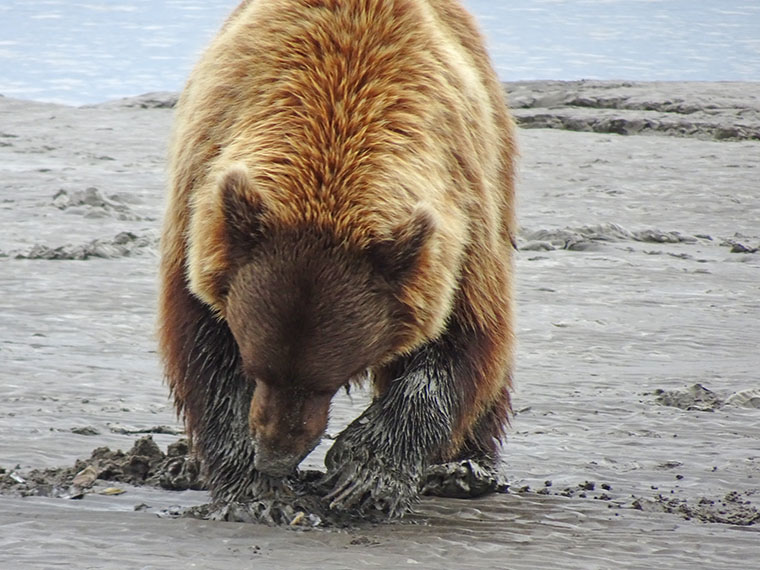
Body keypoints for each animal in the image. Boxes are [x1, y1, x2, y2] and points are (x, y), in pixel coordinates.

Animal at [159, 0, 516, 516]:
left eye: (326, 381)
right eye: (259, 367)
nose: (274, 457)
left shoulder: (461, 227)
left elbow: (461, 342)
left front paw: (364, 475)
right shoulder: (205, 206)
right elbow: (203, 342)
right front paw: (252, 489)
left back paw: (464, 469)